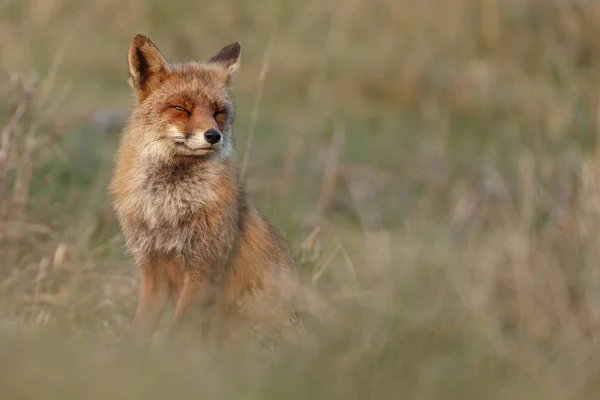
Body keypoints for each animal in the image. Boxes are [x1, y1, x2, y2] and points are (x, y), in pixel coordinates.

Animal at [109, 34, 302, 352]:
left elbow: (177, 331)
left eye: (218, 113)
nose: (213, 135)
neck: (168, 205)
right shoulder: (152, 267)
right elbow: (141, 330)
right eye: (181, 108)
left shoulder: (203, 267)